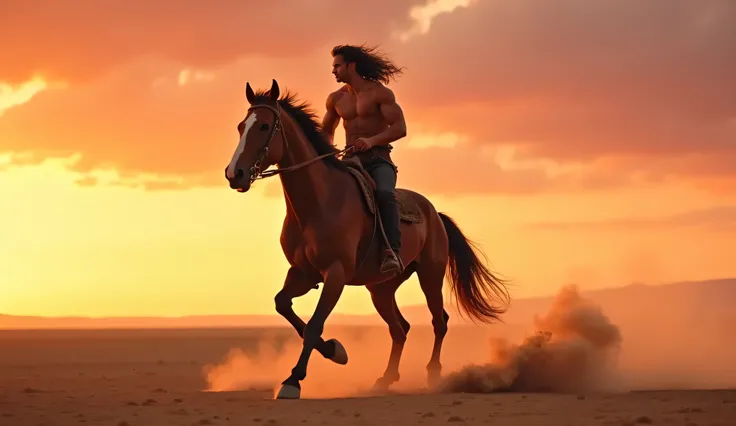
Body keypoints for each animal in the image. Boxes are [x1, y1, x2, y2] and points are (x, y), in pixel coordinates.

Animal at [224, 79, 512, 400]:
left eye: (263, 126)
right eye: (241, 126)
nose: (234, 173)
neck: (319, 202)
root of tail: (434, 213)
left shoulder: (335, 273)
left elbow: (313, 325)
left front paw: (293, 380)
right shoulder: (302, 273)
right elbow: (283, 304)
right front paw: (335, 351)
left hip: (430, 275)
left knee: (439, 321)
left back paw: (433, 375)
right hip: (381, 289)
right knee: (400, 328)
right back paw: (385, 379)